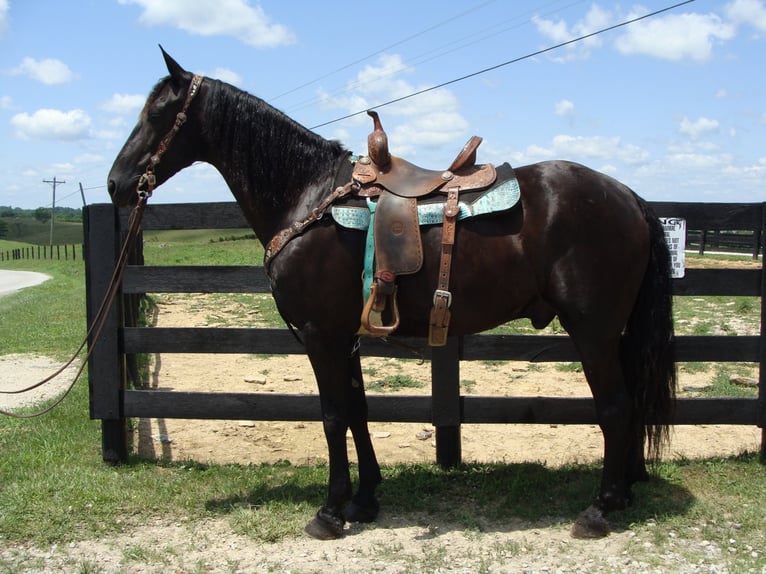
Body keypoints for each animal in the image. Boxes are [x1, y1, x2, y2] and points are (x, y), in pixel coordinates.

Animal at [109, 49, 680, 540]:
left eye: (158, 113)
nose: (116, 183)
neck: (309, 197)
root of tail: (628, 197)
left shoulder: (320, 336)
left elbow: (333, 415)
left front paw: (330, 511)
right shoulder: (346, 336)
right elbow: (358, 410)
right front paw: (364, 501)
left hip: (593, 329)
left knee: (615, 406)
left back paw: (599, 509)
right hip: (612, 332)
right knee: (628, 403)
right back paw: (623, 494)